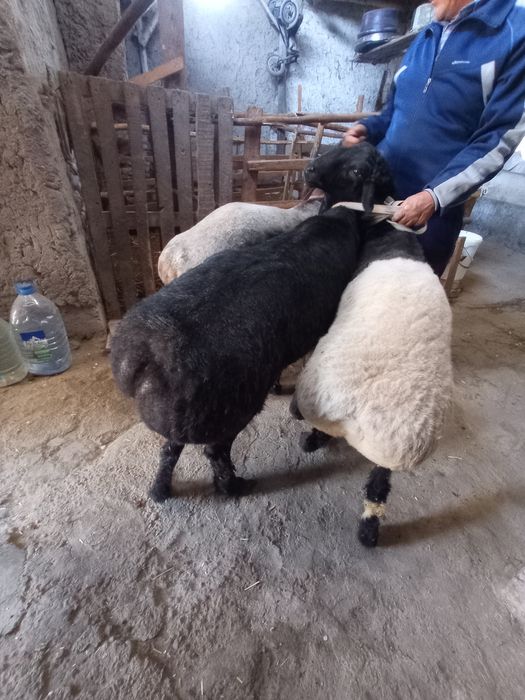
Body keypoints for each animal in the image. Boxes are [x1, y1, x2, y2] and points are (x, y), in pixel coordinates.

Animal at [291, 146, 453, 548]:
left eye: (354, 171)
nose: (310, 168)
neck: (386, 228)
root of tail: (399, 439)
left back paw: (311, 439)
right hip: (386, 463)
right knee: (379, 486)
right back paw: (369, 528)